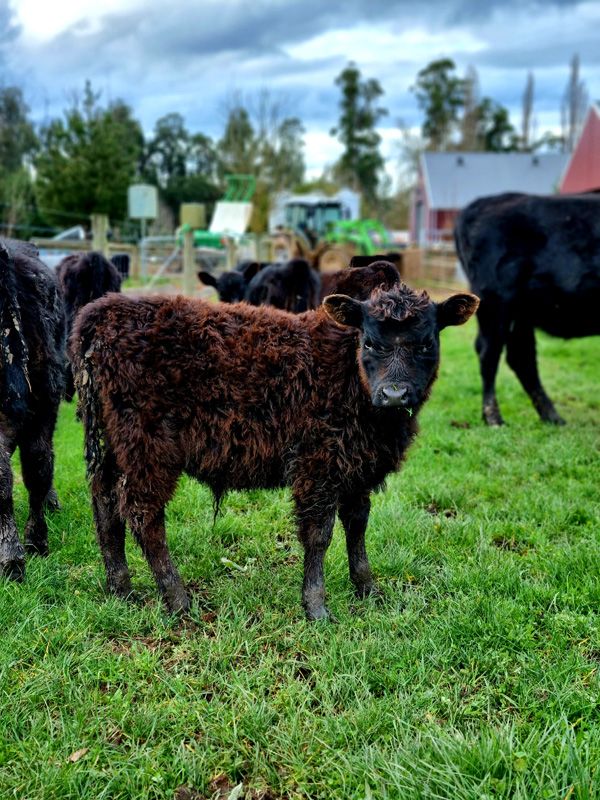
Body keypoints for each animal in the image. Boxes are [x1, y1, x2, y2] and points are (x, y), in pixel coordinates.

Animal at [70, 283, 478, 619]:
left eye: (426, 344)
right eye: (371, 343)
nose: (394, 394)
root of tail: (106, 309)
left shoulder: (358, 468)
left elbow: (357, 525)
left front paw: (367, 588)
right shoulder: (318, 465)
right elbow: (319, 534)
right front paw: (316, 606)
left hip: (112, 447)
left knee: (106, 505)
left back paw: (121, 589)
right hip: (148, 449)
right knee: (143, 515)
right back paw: (177, 598)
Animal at [454, 192, 600, 425]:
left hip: (522, 310)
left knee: (521, 357)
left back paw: (551, 416)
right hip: (496, 302)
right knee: (489, 353)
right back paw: (493, 418)